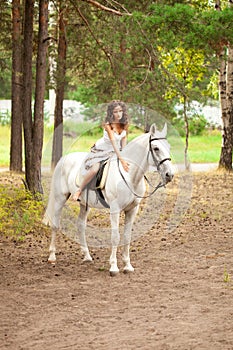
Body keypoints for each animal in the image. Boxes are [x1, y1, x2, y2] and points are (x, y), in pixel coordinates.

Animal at [42, 124, 173, 274]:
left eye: (169, 147)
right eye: (156, 148)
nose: (169, 175)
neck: (129, 175)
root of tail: (64, 159)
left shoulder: (132, 209)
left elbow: (127, 236)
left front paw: (127, 265)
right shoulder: (115, 209)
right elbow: (115, 237)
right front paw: (114, 267)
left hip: (84, 204)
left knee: (80, 225)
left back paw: (87, 256)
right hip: (60, 198)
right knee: (55, 224)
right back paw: (52, 256)